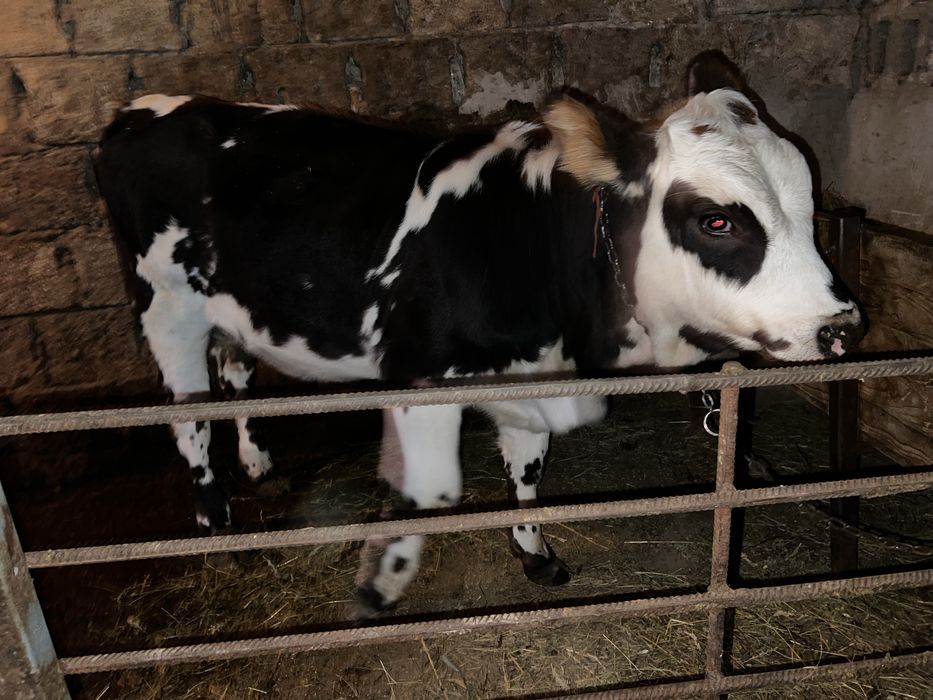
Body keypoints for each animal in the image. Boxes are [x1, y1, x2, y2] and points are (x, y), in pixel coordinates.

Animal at [96, 52, 864, 614]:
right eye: (716, 220)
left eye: (809, 201)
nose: (840, 327)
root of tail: (141, 110)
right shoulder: (417, 380)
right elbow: (431, 489)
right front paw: (384, 581)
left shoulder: (536, 376)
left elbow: (527, 470)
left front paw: (533, 553)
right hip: (166, 309)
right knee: (189, 420)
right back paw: (217, 525)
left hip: (229, 309)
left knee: (235, 376)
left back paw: (259, 465)